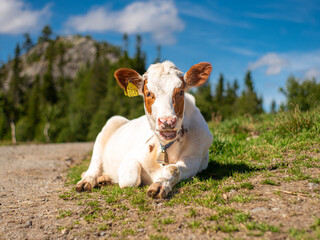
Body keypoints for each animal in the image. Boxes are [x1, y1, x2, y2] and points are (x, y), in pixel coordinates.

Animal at [76, 60, 214, 199]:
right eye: (148, 93)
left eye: (180, 92)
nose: (167, 121)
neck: (166, 147)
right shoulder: (132, 156)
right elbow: (129, 180)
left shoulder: (195, 159)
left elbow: (173, 169)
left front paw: (160, 185)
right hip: (109, 127)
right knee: (94, 166)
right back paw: (86, 181)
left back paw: (104, 179)